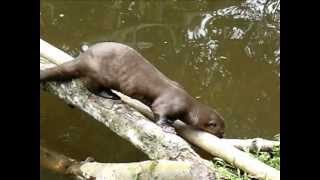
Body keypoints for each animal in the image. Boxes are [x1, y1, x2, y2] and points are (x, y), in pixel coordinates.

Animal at [40, 42, 225, 138]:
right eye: (219, 129)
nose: (223, 136)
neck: (188, 105)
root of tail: (82, 58)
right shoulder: (168, 103)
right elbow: (159, 112)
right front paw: (167, 127)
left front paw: (172, 122)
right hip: (96, 74)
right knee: (90, 87)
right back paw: (111, 95)